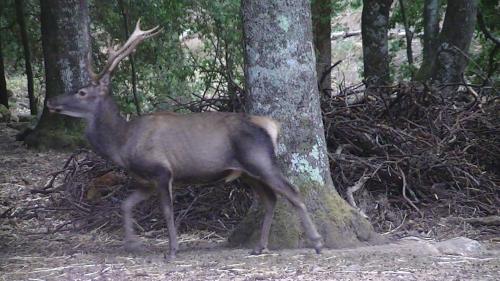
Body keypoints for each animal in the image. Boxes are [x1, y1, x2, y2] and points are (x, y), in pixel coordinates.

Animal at [46, 20, 320, 260]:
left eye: (81, 92)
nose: (50, 100)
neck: (122, 144)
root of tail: (271, 126)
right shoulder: (146, 179)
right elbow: (125, 204)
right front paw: (133, 244)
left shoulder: (162, 171)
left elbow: (167, 212)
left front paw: (172, 250)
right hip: (246, 172)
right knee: (271, 199)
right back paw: (260, 246)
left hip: (260, 160)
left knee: (292, 191)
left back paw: (316, 242)